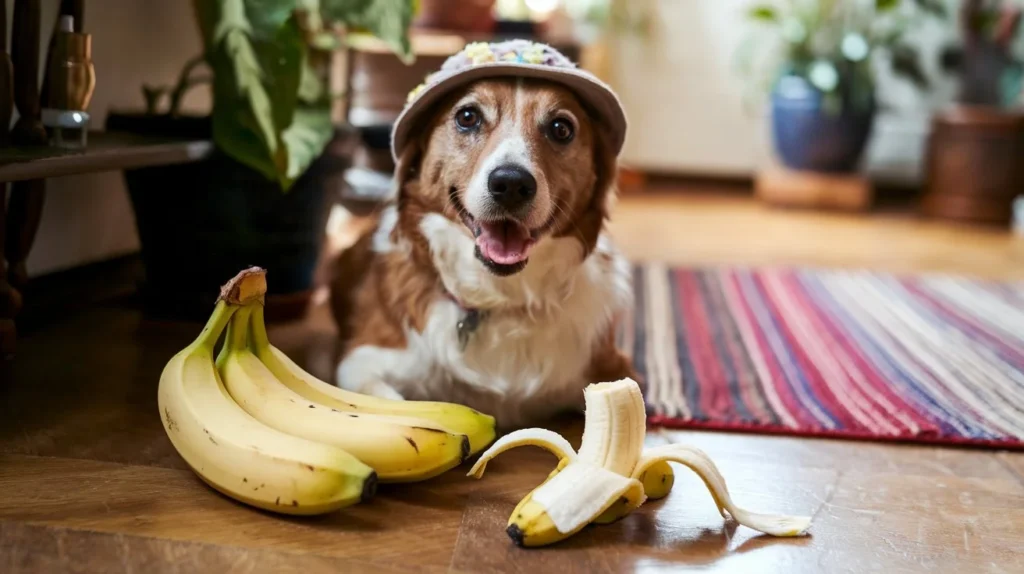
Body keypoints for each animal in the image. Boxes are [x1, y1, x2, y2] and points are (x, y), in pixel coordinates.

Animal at [329, 73, 630, 427]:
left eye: (561, 128)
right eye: (468, 117)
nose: (511, 184)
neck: (500, 296)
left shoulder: (614, 369)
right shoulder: (361, 363)